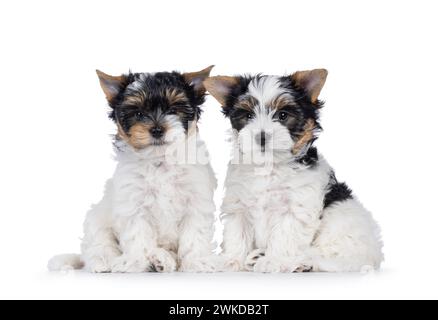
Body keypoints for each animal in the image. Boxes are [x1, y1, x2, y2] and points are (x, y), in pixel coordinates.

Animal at [48, 66, 219, 274]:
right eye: (138, 114)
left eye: (173, 110)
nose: (157, 130)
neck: (159, 161)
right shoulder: (134, 204)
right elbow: (137, 235)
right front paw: (134, 262)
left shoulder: (196, 201)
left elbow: (195, 235)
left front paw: (197, 261)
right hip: (96, 221)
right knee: (99, 246)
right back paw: (106, 262)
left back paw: (162, 260)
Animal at [204, 70, 384, 272]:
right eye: (248, 115)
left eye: (283, 115)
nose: (261, 137)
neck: (270, 166)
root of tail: (374, 255)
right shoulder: (238, 204)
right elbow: (237, 232)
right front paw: (231, 261)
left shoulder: (295, 208)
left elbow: (285, 235)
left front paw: (273, 261)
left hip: (342, 225)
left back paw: (302, 263)